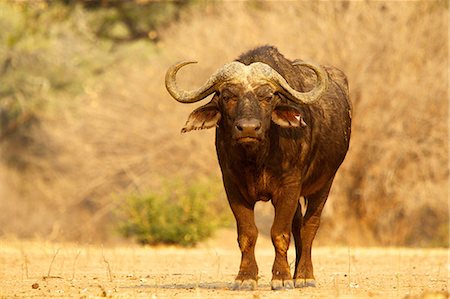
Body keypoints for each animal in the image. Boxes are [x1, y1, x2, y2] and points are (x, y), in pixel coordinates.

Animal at [165, 46, 352, 290]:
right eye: (227, 96)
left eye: (268, 96)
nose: (248, 128)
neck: (257, 159)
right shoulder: (233, 187)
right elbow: (248, 234)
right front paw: (245, 277)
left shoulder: (289, 186)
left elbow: (279, 233)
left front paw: (281, 278)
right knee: (297, 225)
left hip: (324, 184)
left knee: (309, 226)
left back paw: (304, 276)